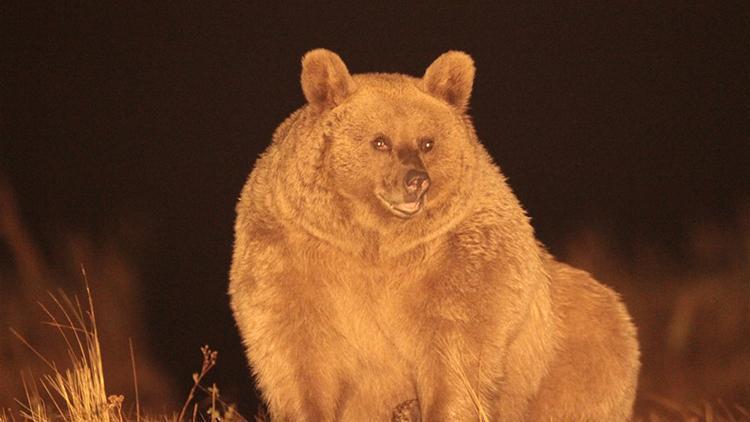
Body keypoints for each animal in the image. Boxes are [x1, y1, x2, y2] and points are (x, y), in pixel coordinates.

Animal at [229, 47, 640, 420]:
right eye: (380, 140)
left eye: (427, 141)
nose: (416, 180)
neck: (376, 242)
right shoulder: (292, 247)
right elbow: (295, 347)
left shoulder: (461, 256)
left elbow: (458, 348)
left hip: (579, 350)